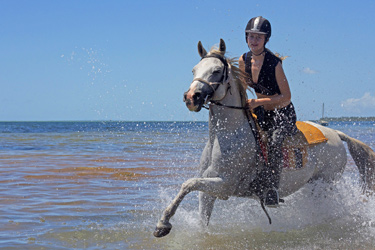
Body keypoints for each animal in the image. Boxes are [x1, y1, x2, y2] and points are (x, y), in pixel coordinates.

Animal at [153, 39, 375, 238]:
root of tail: (336, 134)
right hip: (313, 184)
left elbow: (187, 184)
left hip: (325, 184)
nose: (191, 97)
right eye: (194, 70)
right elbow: (199, 210)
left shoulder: (224, 184)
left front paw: (163, 223)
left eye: (216, 71)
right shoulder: (208, 189)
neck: (226, 135)